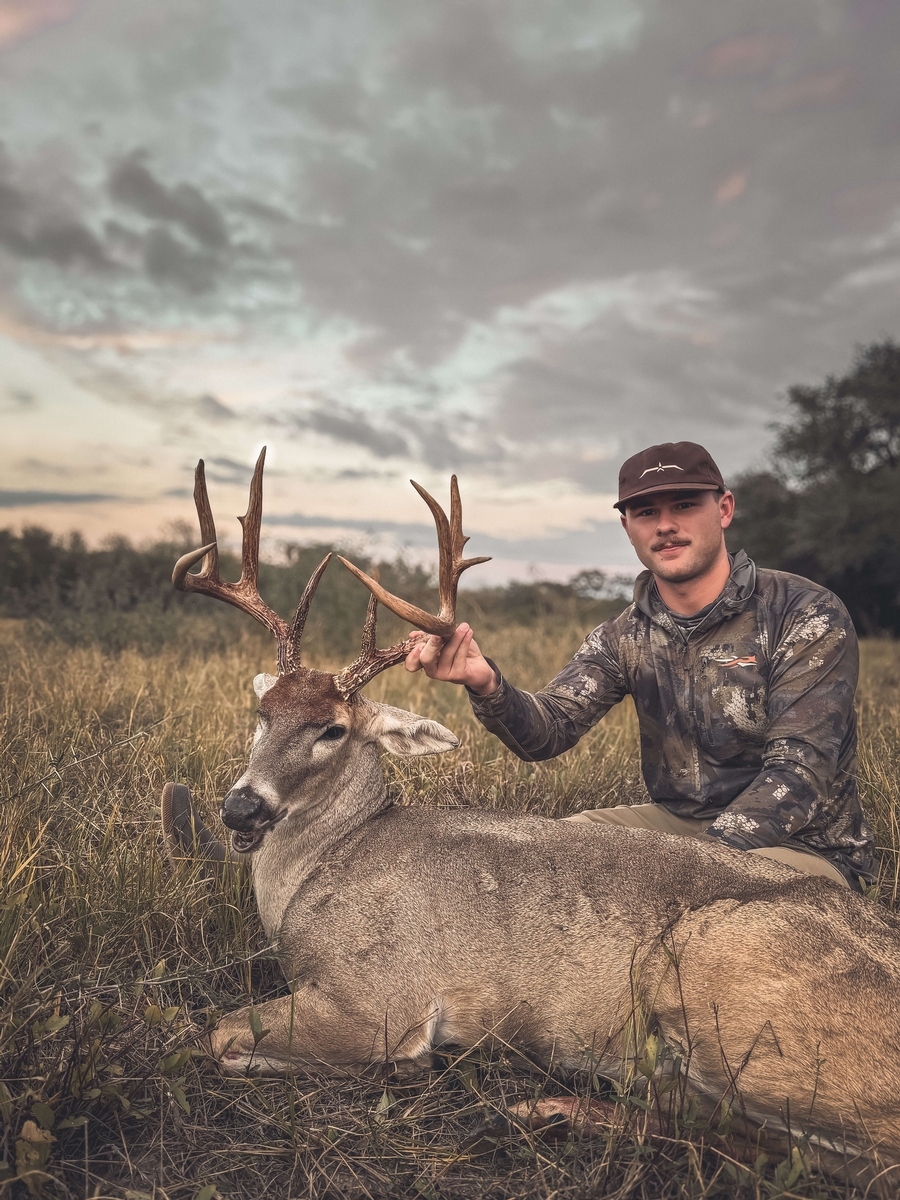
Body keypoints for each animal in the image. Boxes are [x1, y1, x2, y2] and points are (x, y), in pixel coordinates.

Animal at [162, 449, 900, 1194]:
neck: (324, 869)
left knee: (821, 1151)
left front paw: (415, 1066)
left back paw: (541, 1109)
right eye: (263, 713)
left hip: (712, 977)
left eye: (333, 729)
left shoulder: (377, 1000)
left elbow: (214, 1036)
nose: (242, 806)